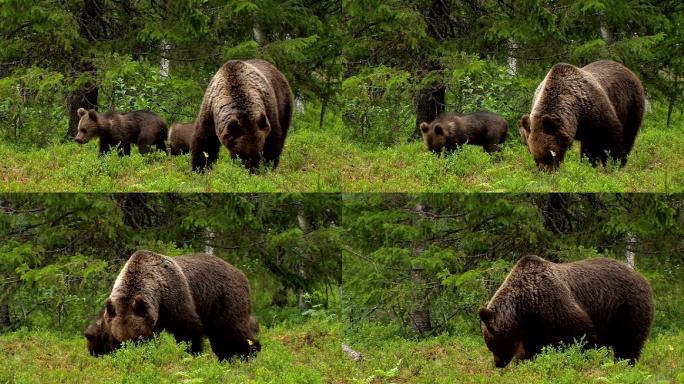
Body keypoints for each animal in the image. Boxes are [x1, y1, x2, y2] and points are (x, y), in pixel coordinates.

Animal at [97, 250, 260, 362]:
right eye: (122, 340)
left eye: (138, 337)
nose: (134, 355)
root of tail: (240, 273)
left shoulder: (175, 298)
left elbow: (189, 330)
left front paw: (193, 355)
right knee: (220, 337)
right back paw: (227, 358)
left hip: (222, 298)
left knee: (232, 329)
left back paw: (250, 353)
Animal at [478, 256, 656, 368]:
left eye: (491, 345)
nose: (498, 364)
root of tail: (641, 276)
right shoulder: (535, 325)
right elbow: (532, 349)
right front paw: (524, 363)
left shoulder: (553, 302)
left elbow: (581, 335)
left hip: (627, 307)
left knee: (628, 341)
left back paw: (625, 363)